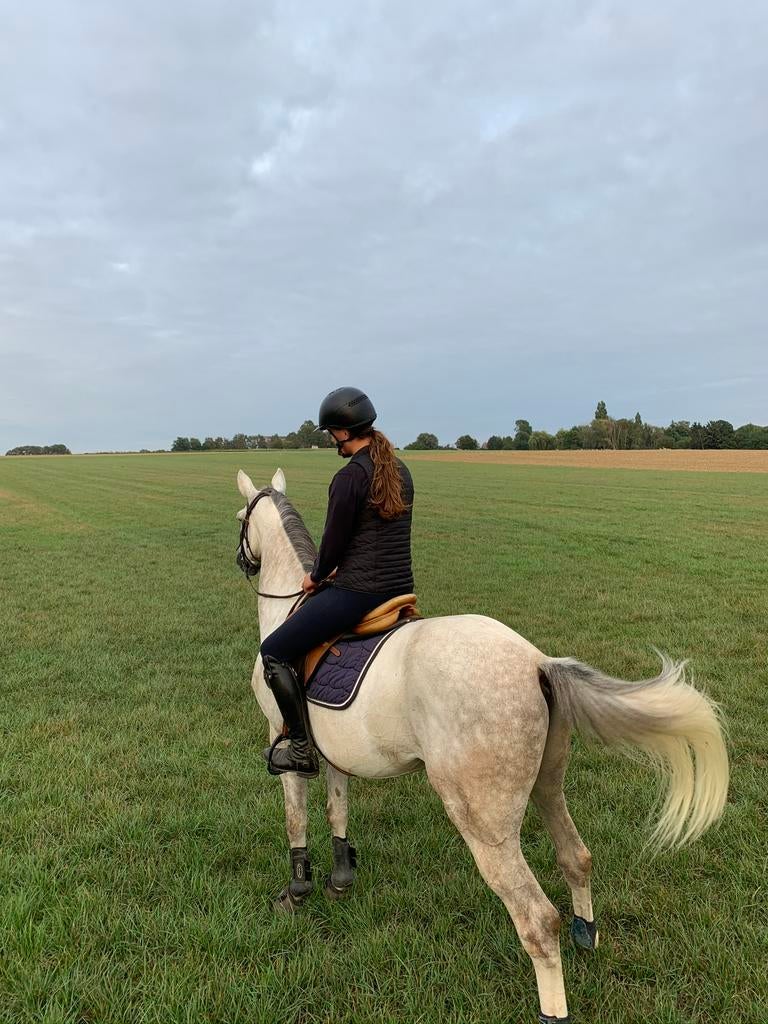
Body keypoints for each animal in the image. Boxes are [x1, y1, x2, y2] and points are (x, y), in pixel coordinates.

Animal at [236, 467, 729, 1024]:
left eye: (240, 518)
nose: (242, 560)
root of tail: (537, 662)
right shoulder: (333, 752)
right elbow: (337, 810)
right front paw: (341, 879)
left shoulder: (285, 744)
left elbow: (296, 817)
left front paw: (297, 891)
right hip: (547, 786)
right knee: (577, 858)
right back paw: (586, 935)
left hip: (484, 823)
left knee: (537, 918)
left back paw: (553, 1007)